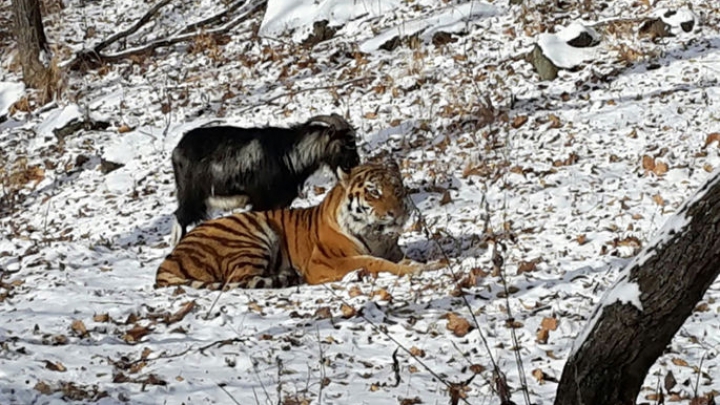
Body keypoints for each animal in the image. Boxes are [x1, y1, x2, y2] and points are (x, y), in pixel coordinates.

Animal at [155, 159, 442, 288]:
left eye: (397, 189)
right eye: (374, 192)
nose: (398, 213)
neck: (377, 235)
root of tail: (169, 259)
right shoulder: (324, 262)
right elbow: (373, 262)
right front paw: (415, 269)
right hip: (251, 235)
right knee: (238, 279)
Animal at [169, 113, 360, 243]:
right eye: (344, 144)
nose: (355, 163)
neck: (288, 154)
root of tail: (177, 150)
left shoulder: (280, 202)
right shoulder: (261, 201)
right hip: (191, 196)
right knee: (180, 218)